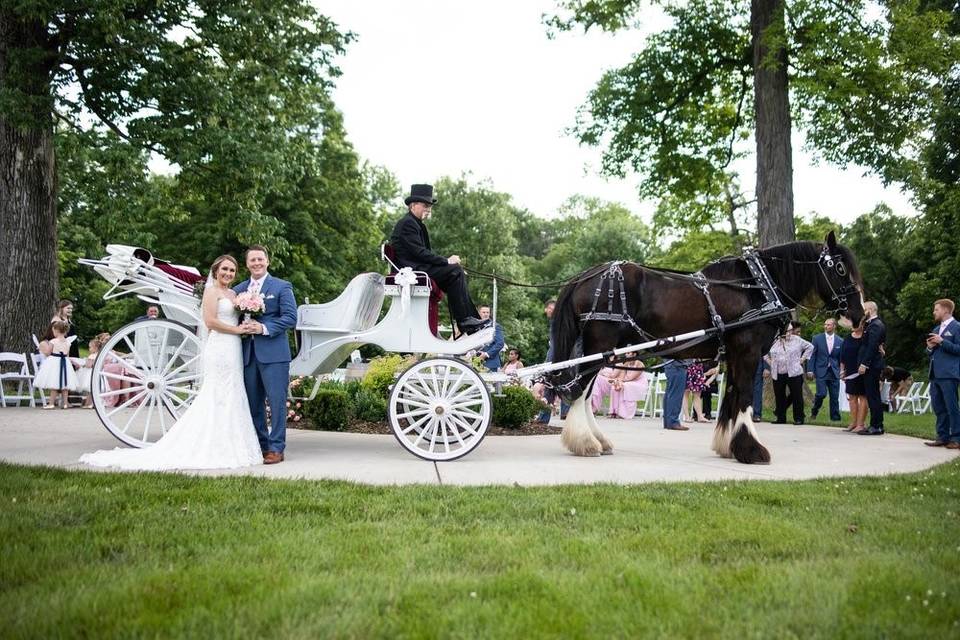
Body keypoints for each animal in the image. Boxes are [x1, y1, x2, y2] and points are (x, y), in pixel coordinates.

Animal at [544, 232, 868, 462]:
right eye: (840, 268)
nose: (858, 315)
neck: (757, 286)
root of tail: (584, 276)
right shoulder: (748, 351)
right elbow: (745, 397)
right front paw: (751, 450)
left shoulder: (735, 355)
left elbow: (733, 396)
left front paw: (729, 446)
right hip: (600, 343)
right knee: (580, 391)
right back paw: (586, 442)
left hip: (607, 348)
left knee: (584, 391)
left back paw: (597, 440)